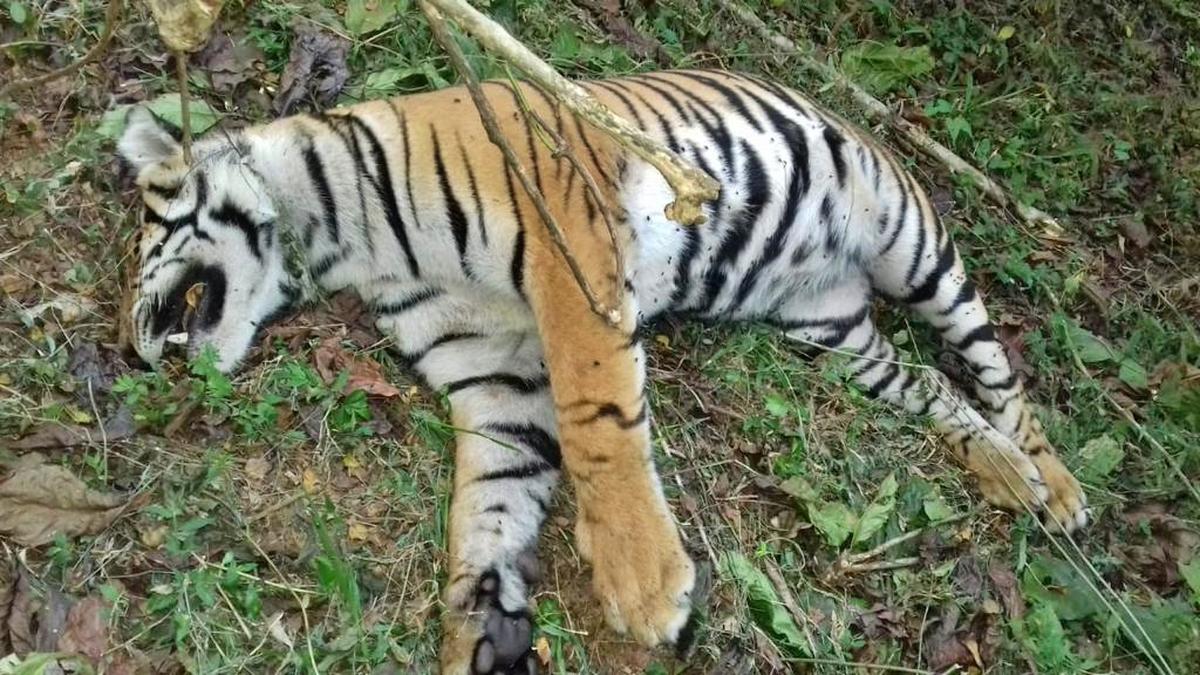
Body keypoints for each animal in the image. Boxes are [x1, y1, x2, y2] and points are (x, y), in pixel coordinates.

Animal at [116, 69, 1088, 674]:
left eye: (144, 235)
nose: (133, 349)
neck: (342, 240)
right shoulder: (494, 378)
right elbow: (491, 502)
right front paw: (479, 619)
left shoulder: (568, 245)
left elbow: (599, 420)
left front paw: (646, 584)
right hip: (833, 332)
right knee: (935, 389)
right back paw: (1004, 471)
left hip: (909, 240)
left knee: (996, 369)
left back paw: (1056, 486)